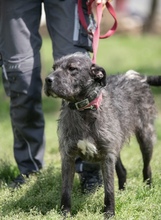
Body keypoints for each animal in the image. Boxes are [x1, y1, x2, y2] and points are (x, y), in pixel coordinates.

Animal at [44, 52, 161, 218]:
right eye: (54, 68)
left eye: (72, 68)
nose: (48, 80)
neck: (84, 110)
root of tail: (136, 76)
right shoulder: (68, 156)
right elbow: (65, 190)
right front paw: (65, 213)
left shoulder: (107, 157)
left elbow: (109, 189)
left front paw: (109, 213)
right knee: (123, 171)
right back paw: (123, 192)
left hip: (146, 137)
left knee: (147, 168)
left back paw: (148, 189)